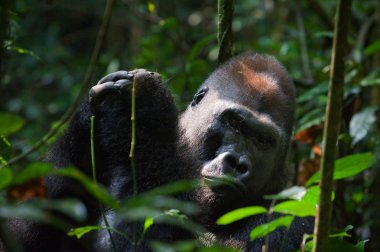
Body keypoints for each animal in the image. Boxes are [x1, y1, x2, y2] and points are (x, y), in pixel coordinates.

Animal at [1, 52, 314, 251]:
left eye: (262, 140)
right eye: (234, 123)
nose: (237, 163)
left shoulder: (296, 218)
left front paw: (145, 107)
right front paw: (87, 119)